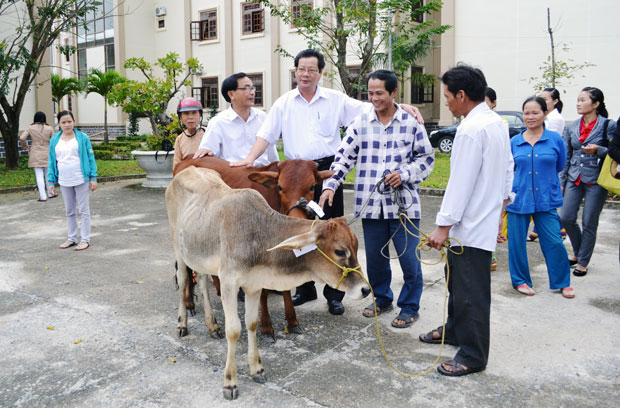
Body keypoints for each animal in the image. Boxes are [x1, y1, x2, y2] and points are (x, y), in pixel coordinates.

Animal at [172, 158, 332, 342]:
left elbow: (285, 288)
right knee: (184, 270)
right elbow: (262, 293)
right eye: (280, 187)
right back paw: (189, 305)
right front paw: (267, 327)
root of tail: (186, 162)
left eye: (312, 187)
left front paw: (292, 321)